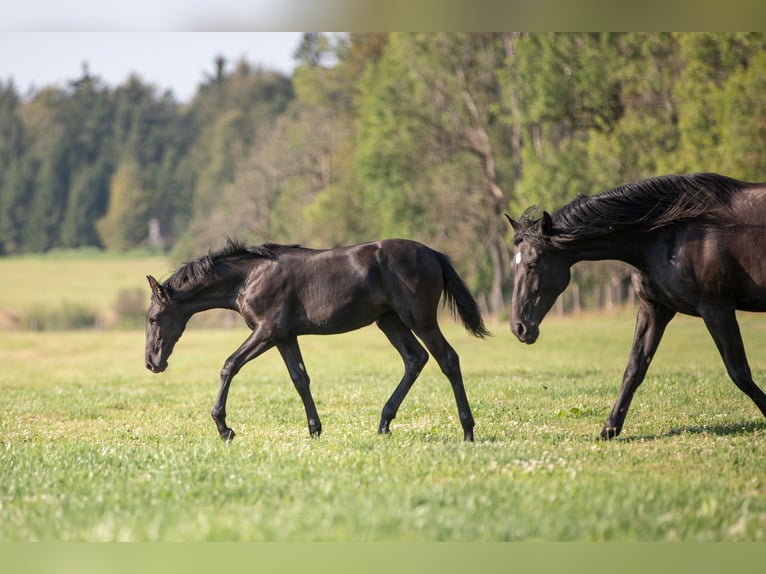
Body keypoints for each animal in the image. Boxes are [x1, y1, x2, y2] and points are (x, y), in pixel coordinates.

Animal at [147, 237, 488, 440]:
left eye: (153, 318)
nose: (152, 363)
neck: (250, 277)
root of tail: (433, 253)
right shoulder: (284, 336)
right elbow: (300, 379)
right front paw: (314, 430)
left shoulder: (266, 331)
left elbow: (229, 365)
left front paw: (224, 427)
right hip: (390, 321)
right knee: (415, 359)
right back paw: (384, 424)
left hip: (419, 319)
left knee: (448, 359)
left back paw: (467, 430)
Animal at [510, 173, 766, 438]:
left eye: (531, 264)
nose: (519, 327)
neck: (671, 234)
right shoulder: (653, 310)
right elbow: (634, 369)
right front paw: (610, 429)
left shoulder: (717, 309)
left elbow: (739, 372)